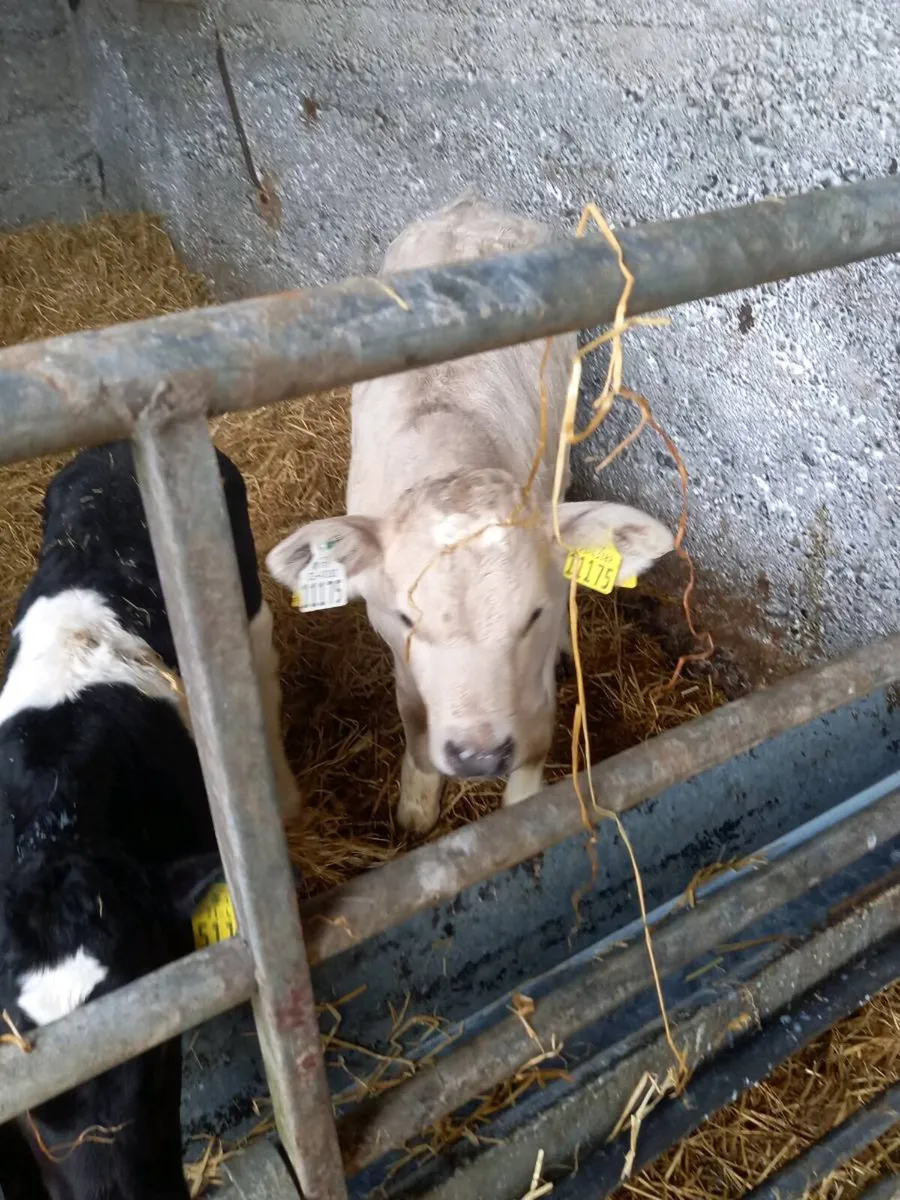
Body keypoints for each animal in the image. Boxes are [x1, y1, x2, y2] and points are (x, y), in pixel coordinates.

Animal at [267, 193, 674, 835]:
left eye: (531, 615)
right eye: (407, 620)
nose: (479, 756)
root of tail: (471, 207)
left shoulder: (537, 660)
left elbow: (538, 726)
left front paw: (522, 810)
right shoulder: (396, 649)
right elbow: (413, 715)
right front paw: (415, 801)